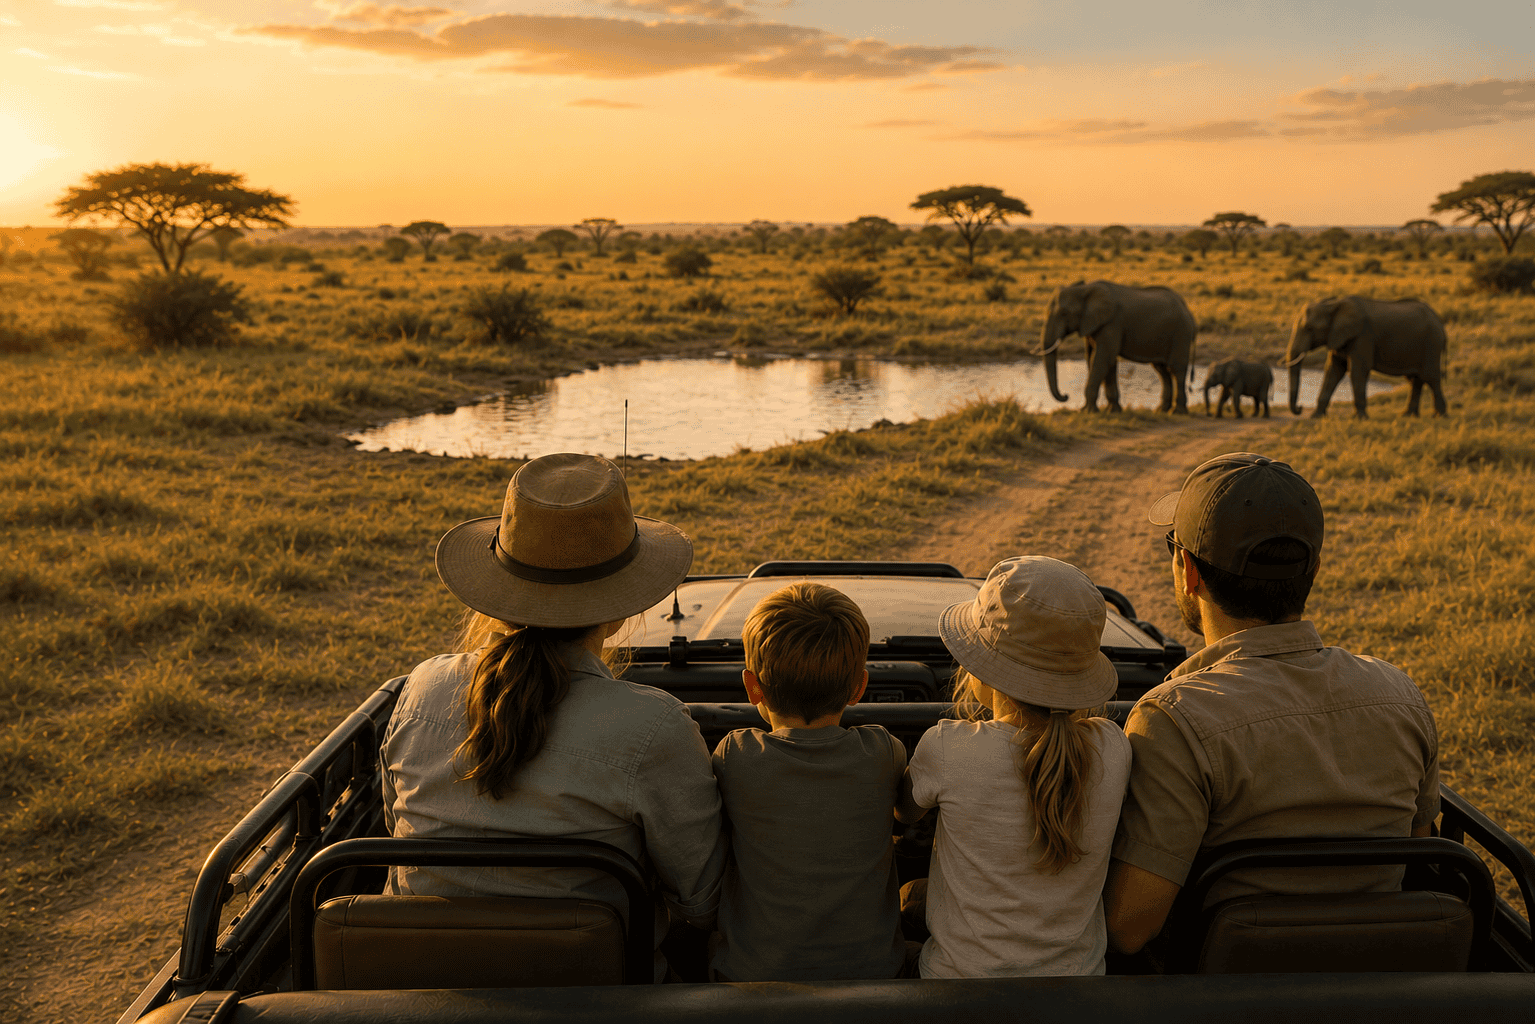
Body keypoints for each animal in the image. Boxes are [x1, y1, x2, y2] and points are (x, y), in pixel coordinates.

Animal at [1042, 281, 1197, 413]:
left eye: (1064, 313)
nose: (1065, 396)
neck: (1084, 289)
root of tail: (1187, 308)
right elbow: (1106, 362)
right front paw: (1112, 411)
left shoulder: (1112, 324)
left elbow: (1101, 359)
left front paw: (1087, 412)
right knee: (1162, 369)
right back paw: (1161, 410)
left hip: (1181, 333)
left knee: (1176, 369)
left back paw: (1177, 412)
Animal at [1284, 296, 1447, 418]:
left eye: (1309, 328)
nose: (1300, 407)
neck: (1334, 305)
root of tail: (1440, 321)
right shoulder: (1338, 336)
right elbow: (1333, 371)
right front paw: (1316, 416)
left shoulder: (1363, 336)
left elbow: (1357, 371)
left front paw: (1359, 418)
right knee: (1415, 379)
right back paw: (1408, 415)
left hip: (1431, 343)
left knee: (1430, 377)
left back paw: (1439, 416)